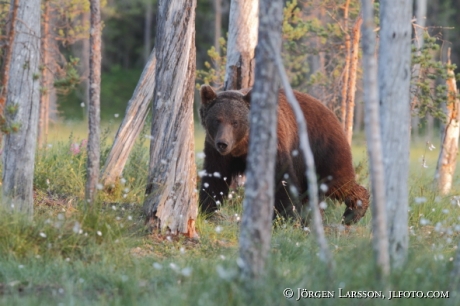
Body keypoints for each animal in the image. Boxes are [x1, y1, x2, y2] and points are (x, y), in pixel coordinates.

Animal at [199, 84, 370, 225]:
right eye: (217, 120)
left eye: (235, 122)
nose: (223, 143)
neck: (242, 147)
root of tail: (329, 111)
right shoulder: (217, 154)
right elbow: (214, 179)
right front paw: (207, 210)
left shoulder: (276, 145)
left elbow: (282, 181)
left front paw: (286, 218)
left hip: (322, 147)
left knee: (337, 181)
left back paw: (354, 211)